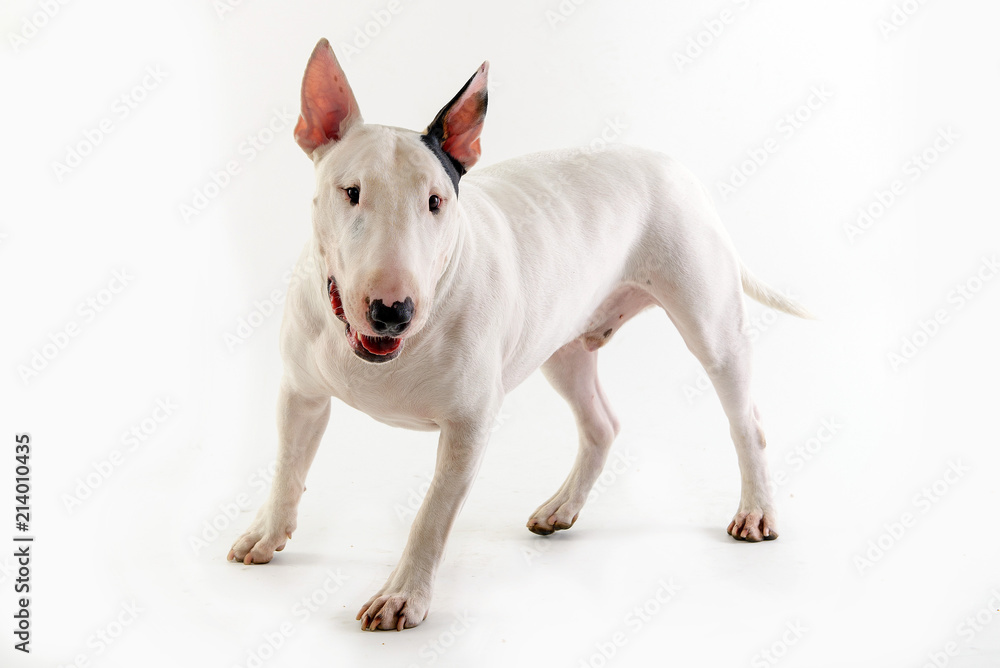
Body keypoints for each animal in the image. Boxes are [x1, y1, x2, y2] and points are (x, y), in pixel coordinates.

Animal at [229, 37, 812, 632]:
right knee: (601, 424)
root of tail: (675, 166)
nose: (394, 312)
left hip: (710, 325)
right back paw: (561, 508)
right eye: (351, 192)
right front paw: (266, 534)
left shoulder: (468, 425)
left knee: (746, 423)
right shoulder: (300, 393)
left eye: (436, 201)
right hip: (563, 347)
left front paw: (402, 596)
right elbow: (287, 467)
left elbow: (431, 514)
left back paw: (756, 511)